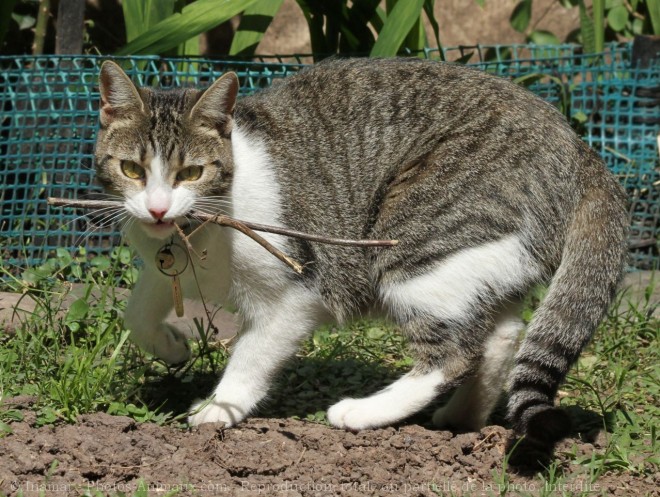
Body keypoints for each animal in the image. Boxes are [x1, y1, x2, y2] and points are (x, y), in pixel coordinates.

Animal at [94, 57, 628, 462]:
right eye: (131, 169)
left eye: (191, 172)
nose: (158, 208)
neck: (193, 237)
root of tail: (578, 146)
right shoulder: (162, 264)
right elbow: (136, 311)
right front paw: (171, 347)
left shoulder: (295, 295)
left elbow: (250, 357)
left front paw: (219, 409)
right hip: (478, 263)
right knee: (501, 335)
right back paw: (461, 419)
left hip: (415, 243)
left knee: (454, 354)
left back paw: (362, 413)